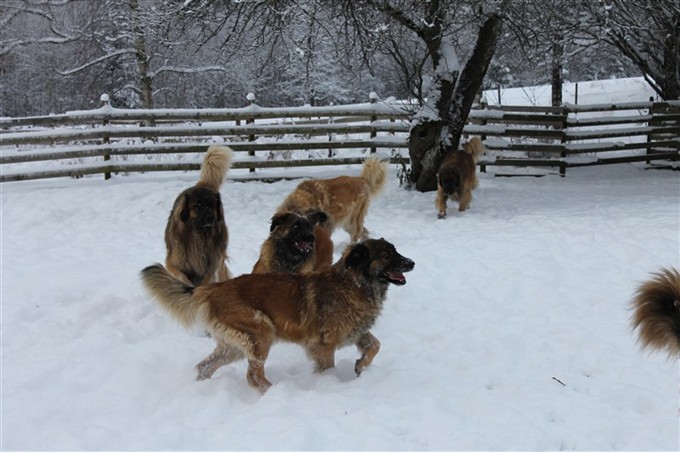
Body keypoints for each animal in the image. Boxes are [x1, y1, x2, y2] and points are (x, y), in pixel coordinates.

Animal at [141, 240, 418, 392]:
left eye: (395, 250)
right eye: (386, 255)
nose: (412, 262)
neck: (354, 283)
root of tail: (213, 288)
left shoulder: (355, 332)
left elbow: (375, 345)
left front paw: (360, 365)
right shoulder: (324, 345)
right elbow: (328, 367)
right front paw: (328, 383)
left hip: (233, 347)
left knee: (204, 367)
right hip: (261, 333)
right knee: (253, 376)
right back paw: (274, 392)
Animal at [163, 145, 232, 286]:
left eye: (212, 204)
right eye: (198, 205)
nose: (211, 218)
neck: (199, 237)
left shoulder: (211, 265)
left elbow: (207, 278)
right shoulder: (173, 263)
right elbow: (182, 276)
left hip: (220, 256)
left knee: (222, 271)